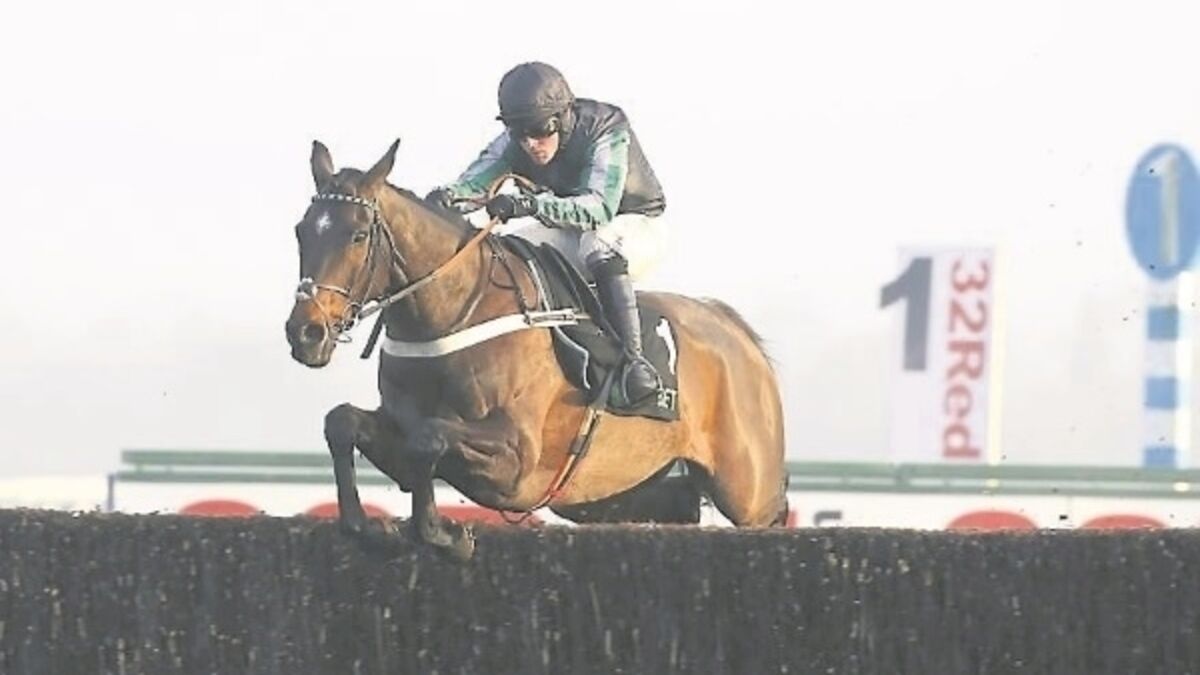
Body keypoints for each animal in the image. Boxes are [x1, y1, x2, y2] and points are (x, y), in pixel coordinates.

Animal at [284, 139, 788, 560]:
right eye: (301, 231)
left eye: (357, 235)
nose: (305, 332)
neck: (457, 312)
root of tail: (733, 328)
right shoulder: (401, 428)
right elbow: (344, 422)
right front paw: (369, 527)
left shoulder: (518, 461)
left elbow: (428, 438)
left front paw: (445, 534)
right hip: (612, 492)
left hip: (748, 490)